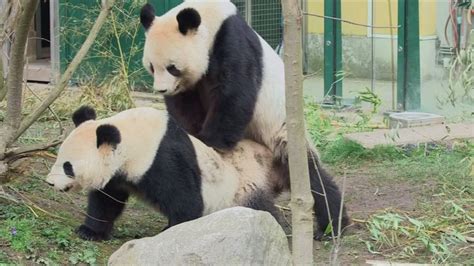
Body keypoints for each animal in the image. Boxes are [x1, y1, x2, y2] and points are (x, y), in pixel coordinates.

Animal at [45, 105, 288, 241]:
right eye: (58, 157)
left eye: (68, 166)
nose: (49, 183)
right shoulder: (116, 175)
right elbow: (106, 203)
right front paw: (89, 231)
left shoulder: (162, 159)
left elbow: (186, 201)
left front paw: (171, 232)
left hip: (240, 190)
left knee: (261, 209)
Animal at [139, 0, 350, 239]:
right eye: (152, 66)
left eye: (172, 67)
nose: (161, 89)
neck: (210, 18)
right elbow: (185, 105)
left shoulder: (231, 41)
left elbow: (234, 92)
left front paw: (212, 142)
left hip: (284, 135)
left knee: (313, 179)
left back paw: (332, 226)